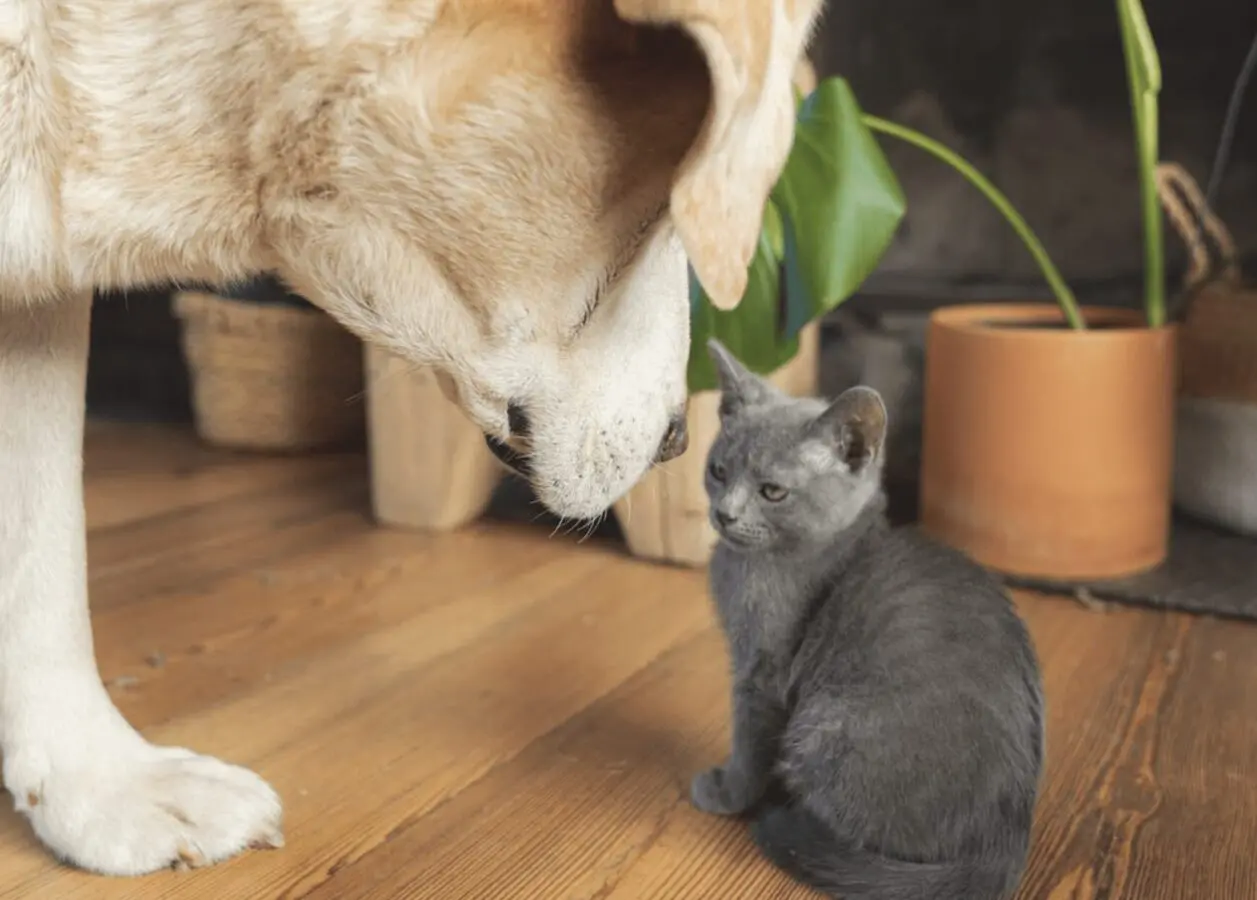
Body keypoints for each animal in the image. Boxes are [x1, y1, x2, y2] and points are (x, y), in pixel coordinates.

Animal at [693, 339, 1045, 900]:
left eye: (772, 492)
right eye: (719, 471)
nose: (725, 513)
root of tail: (1003, 847)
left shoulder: (762, 674)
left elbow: (749, 742)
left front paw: (727, 793)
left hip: (823, 727)